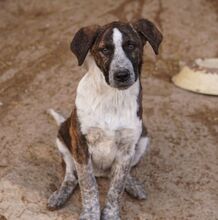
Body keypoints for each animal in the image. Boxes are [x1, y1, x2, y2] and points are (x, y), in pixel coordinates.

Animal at [46, 18, 162, 220]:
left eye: (131, 45)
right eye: (105, 49)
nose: (122, 75)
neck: (112, 96)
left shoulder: (126, 149)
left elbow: (116, 188)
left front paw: (111, 214)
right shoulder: (81, 147)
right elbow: (88, 185)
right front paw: (90, 214)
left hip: (143, 141)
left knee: (120, 175)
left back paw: (133, 185)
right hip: (63, 141)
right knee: (71, 177)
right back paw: (59, 195)